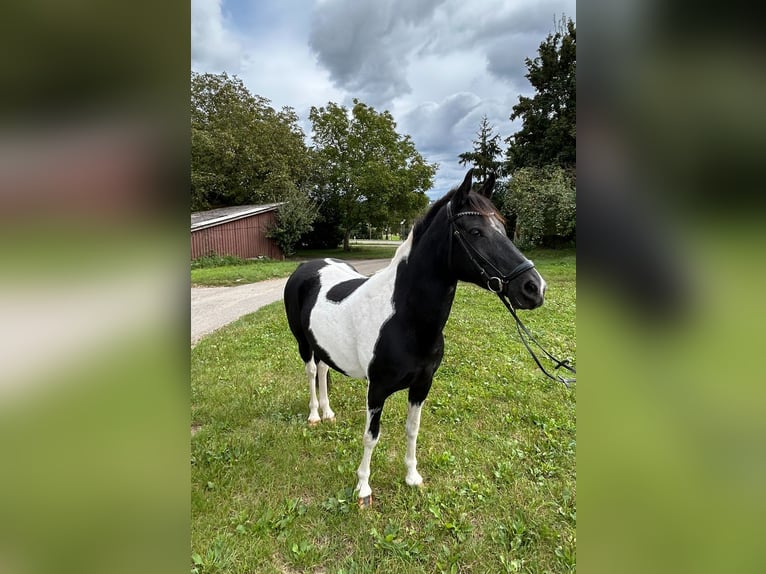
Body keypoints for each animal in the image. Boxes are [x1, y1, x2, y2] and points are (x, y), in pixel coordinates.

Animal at [284, 169, 544, 506]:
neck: (404, 319)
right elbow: (371, 436)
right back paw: (315, 415)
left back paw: (328, 413)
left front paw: (412, 477)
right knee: (312, 372)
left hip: (323, 345)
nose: (534, 288)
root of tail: (307, 266)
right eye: (475, 231)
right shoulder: (377, 389)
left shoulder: (422, 385)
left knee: (325, 369)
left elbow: (412, 429)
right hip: (303, 344)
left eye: (502, 227)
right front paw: (363, 488)